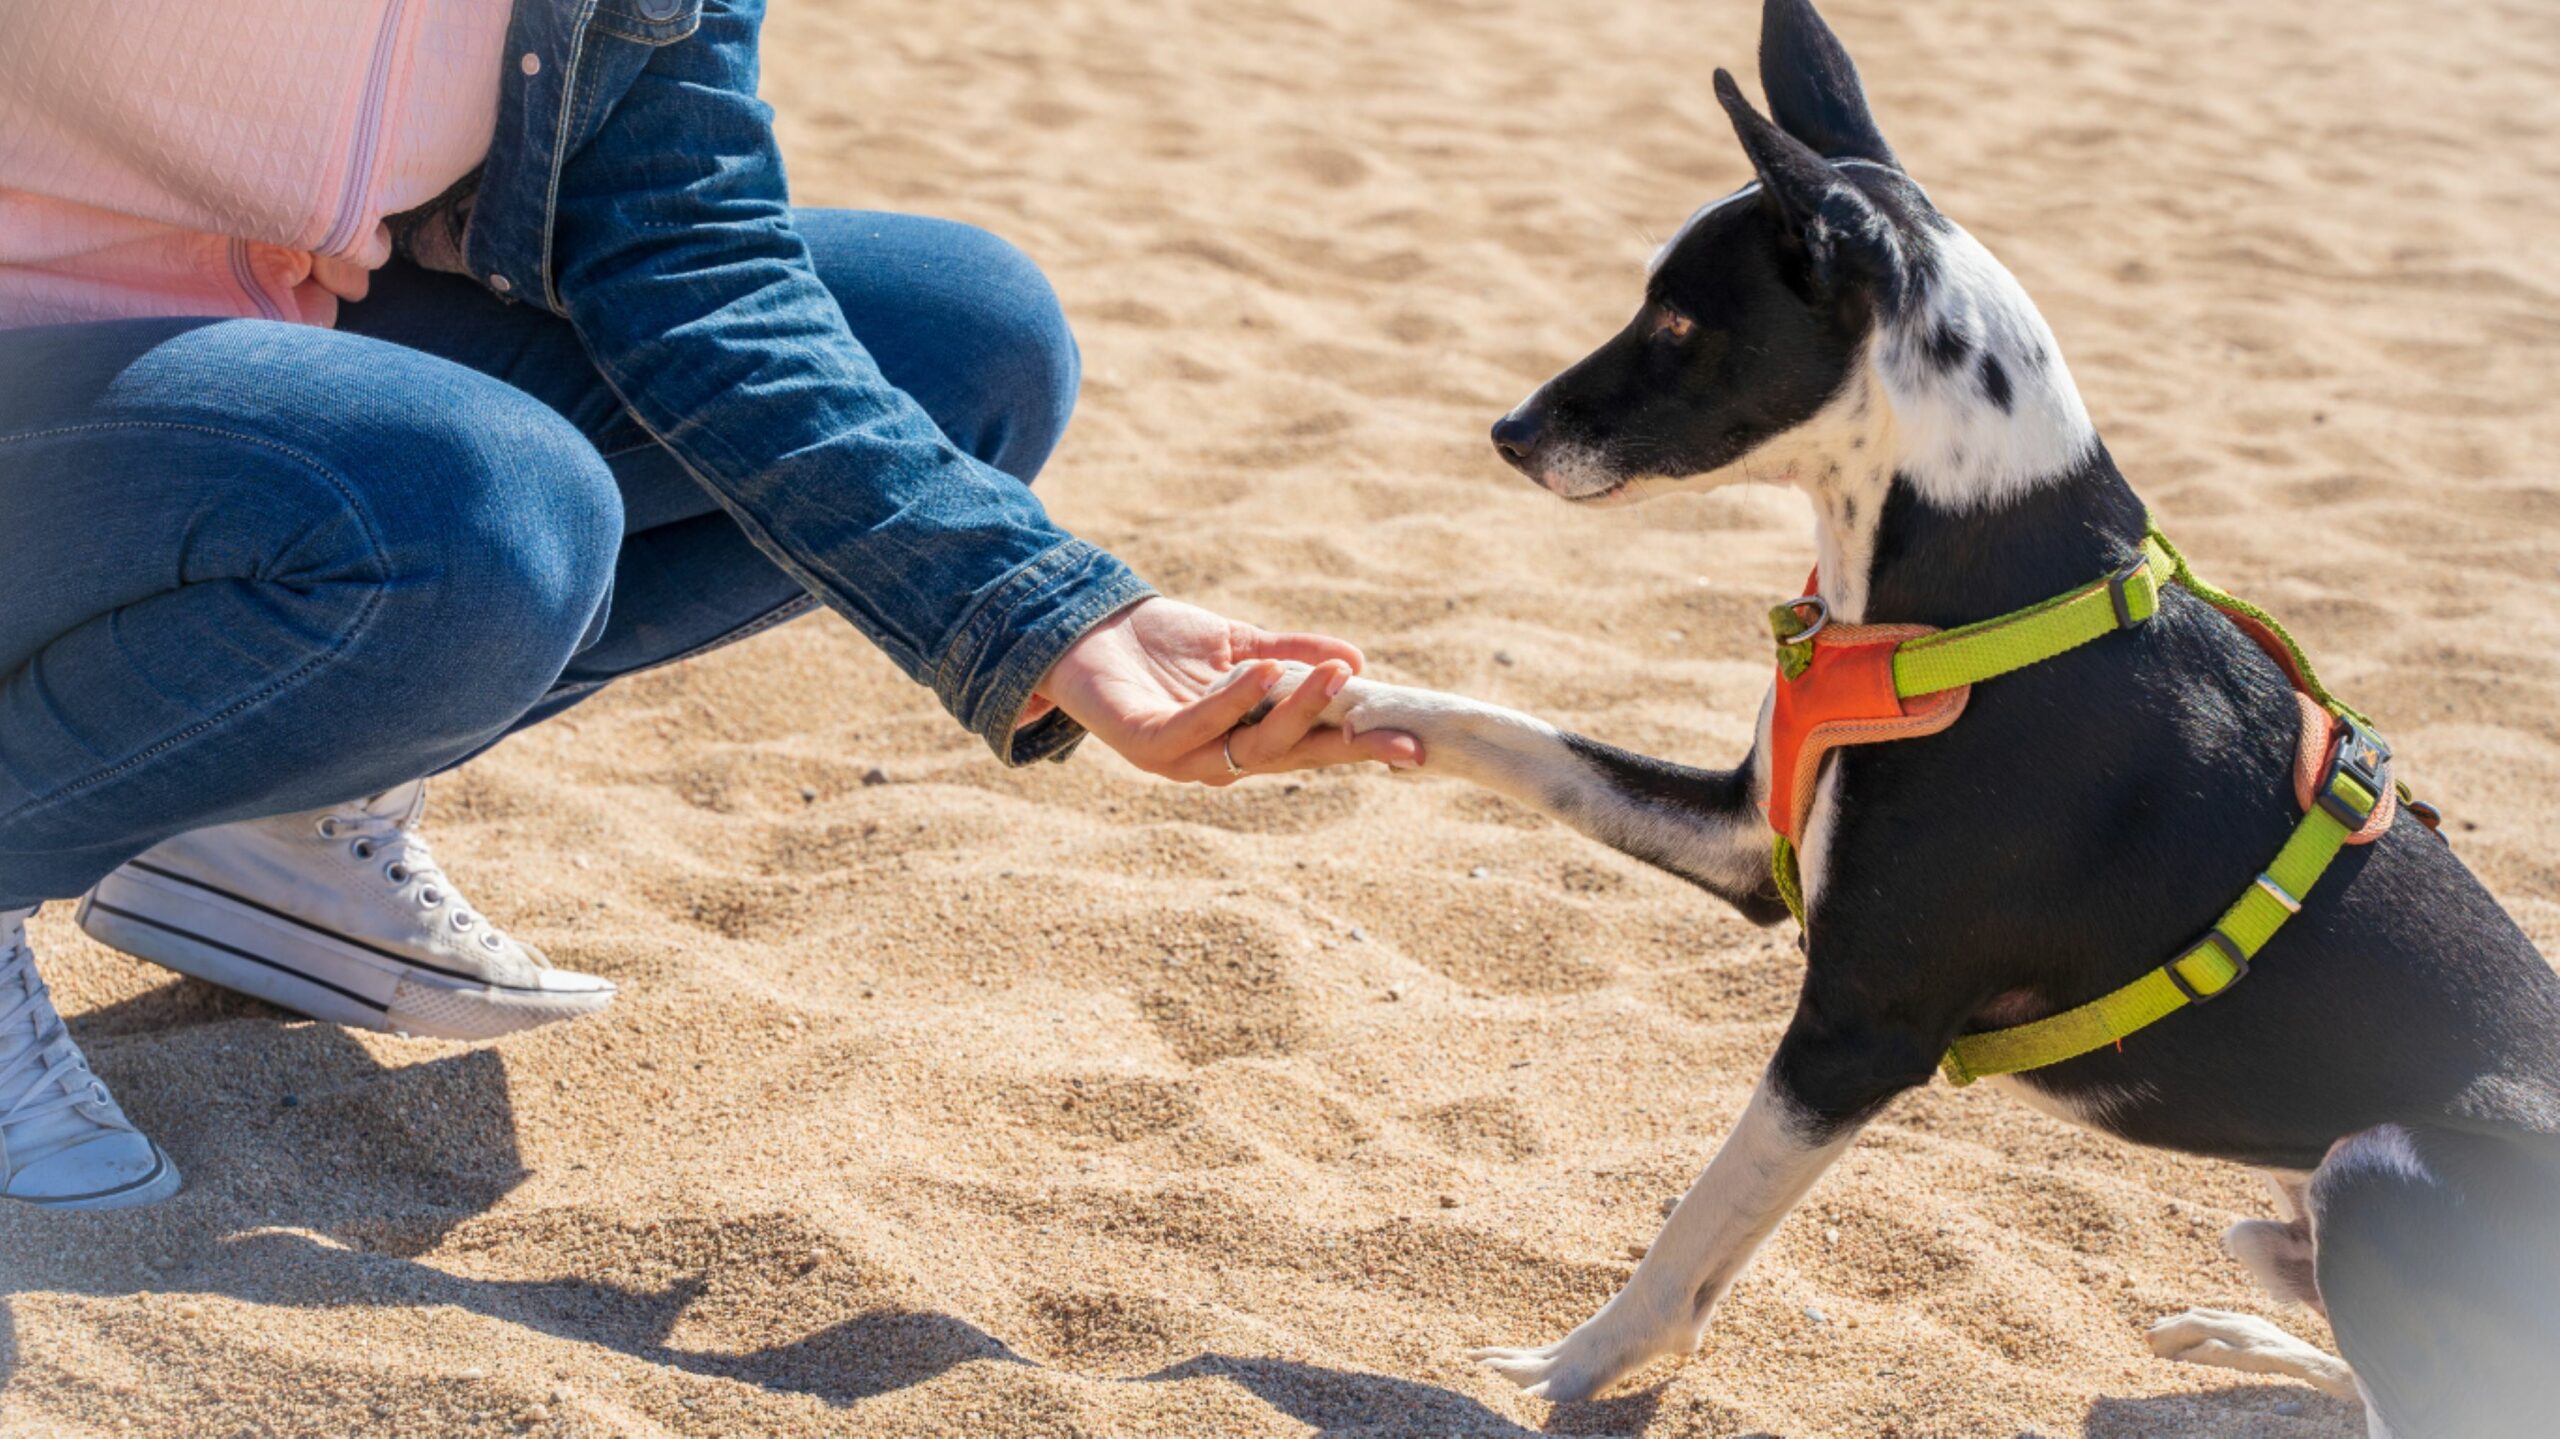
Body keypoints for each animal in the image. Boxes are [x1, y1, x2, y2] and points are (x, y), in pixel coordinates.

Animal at [1300, 5, 2560, 1423]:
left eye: (1676, 320)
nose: (1508, 429)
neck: (1974, 575)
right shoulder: (1742, 841)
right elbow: (1506, 729)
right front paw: (1327, 699)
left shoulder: (1859, 1027)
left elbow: (1699, 1225)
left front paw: (1570, 1363)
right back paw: (2249, 1337)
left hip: (2377, 1164)